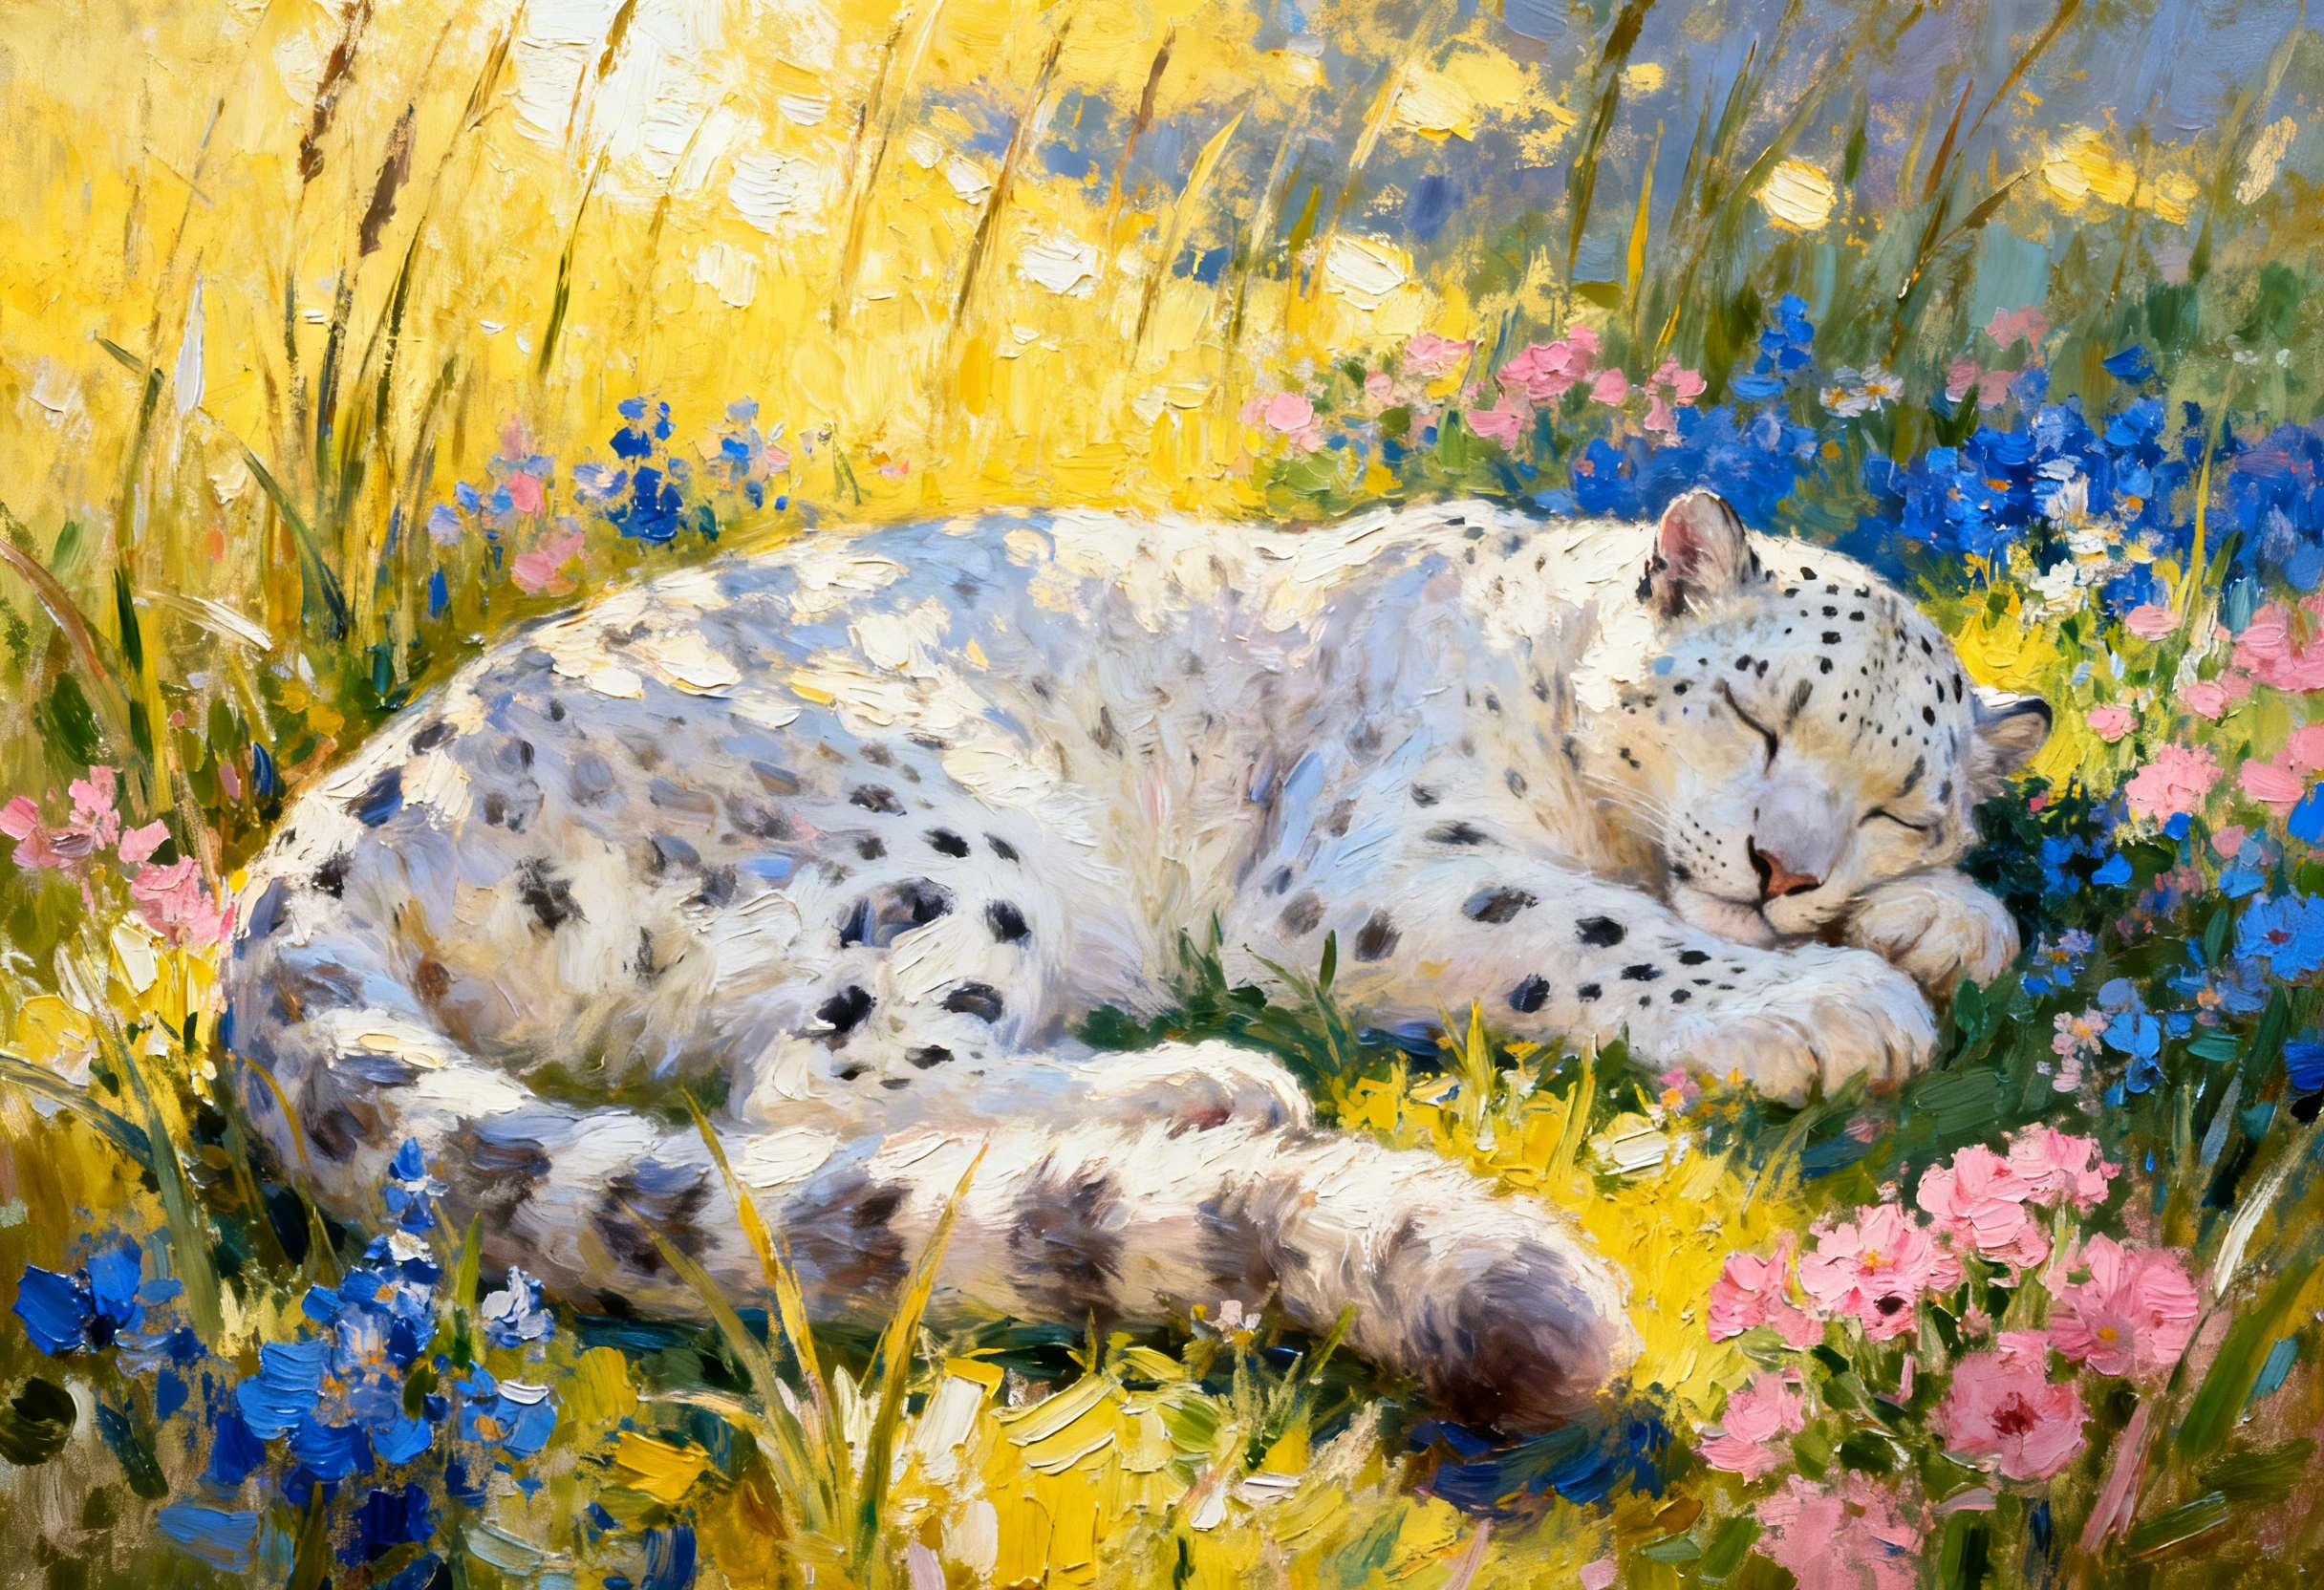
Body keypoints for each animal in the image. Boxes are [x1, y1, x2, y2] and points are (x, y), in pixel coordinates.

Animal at [220, 490, 2049, 1434]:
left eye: (1900, 799)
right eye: (1756, 710)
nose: (1786, 868)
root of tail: (327, 833)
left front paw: (1942, 918)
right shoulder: (1370, 878)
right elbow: (1591, 933)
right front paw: (1830, 1001)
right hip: (931, 852)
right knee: (811, 1088)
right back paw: (1203, 1088)